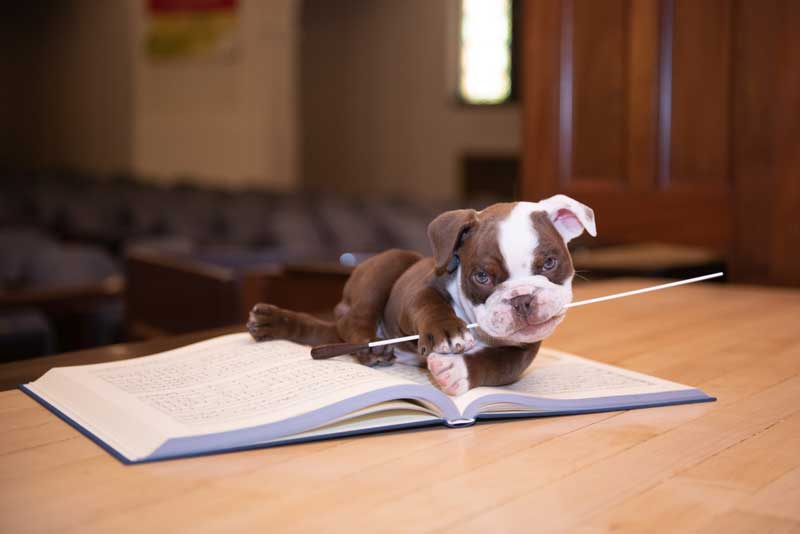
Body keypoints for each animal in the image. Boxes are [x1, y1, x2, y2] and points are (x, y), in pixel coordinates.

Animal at [248, 195, 592, 396]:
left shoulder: (523, 351)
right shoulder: (418, 291)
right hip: (390, 264)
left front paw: (455, 372)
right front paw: (446, 332)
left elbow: (496, 365)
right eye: (482, 276)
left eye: (550, 263)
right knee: (353, 321)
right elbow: (429, 306)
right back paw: (371, 347)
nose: (522, 298)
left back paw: (269, 322)